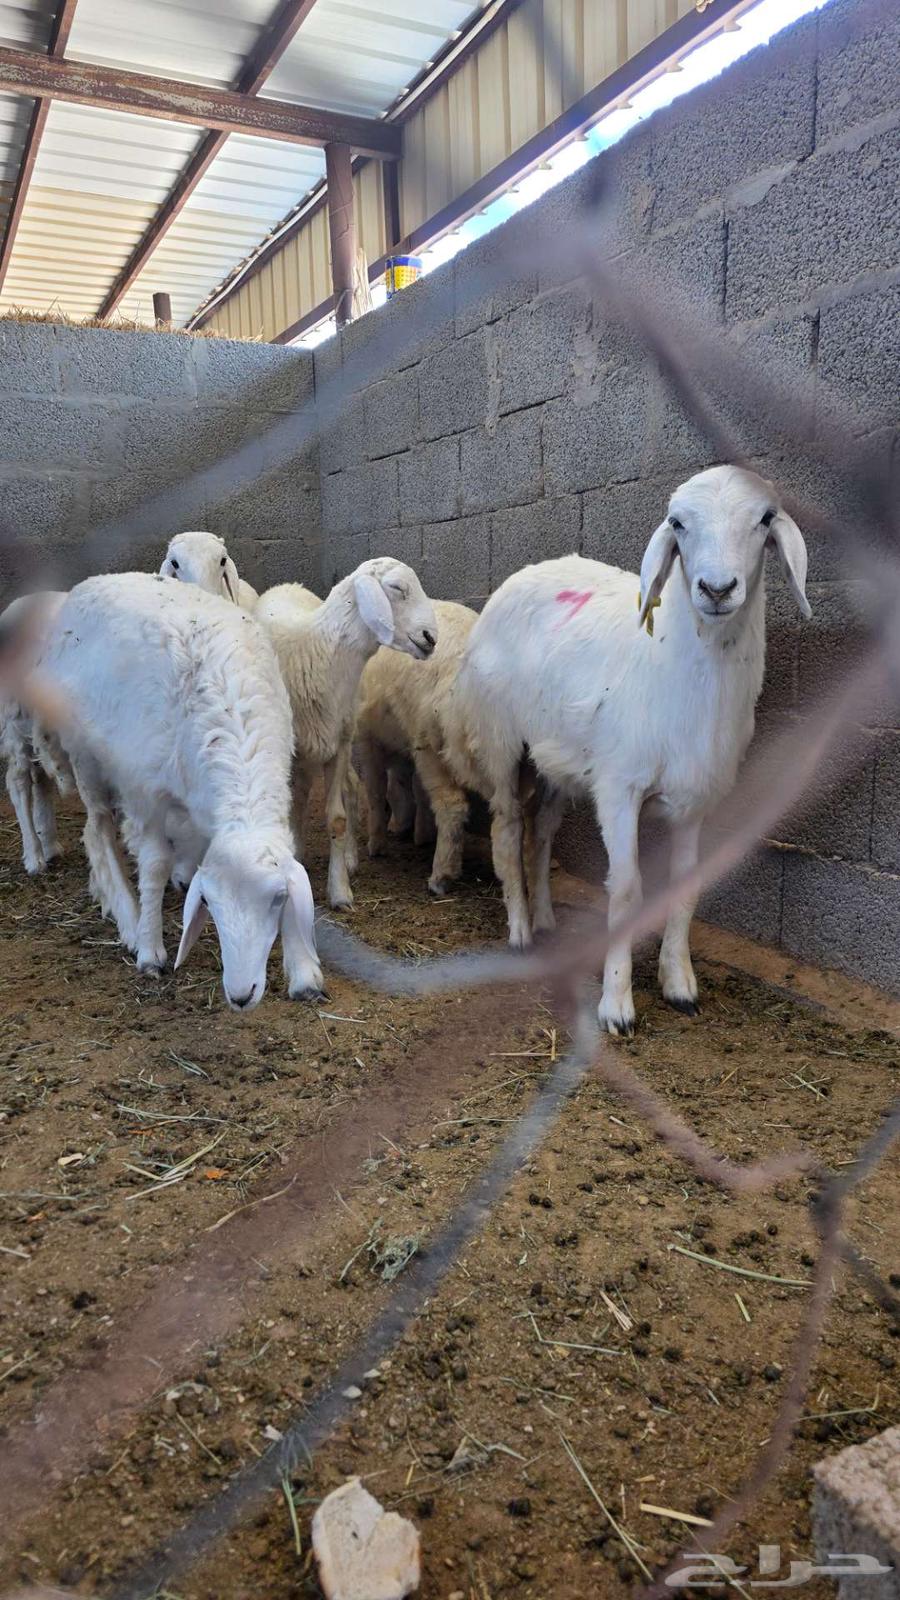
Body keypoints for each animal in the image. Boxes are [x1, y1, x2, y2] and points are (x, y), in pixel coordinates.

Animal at [34, 572, 323, 1008]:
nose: (241, 996)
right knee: (97, 830)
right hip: (84, 753)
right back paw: (127, 914)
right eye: (210, 905)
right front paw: (150, 949)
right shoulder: (146, 794)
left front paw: (303, 972)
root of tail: (91, 582)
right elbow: (154, 865)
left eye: (277, 899)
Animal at [257, 558, 437, 911]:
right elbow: (290, 807)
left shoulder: (339, 743)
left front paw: (339, 889)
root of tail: (288, 584)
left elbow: (337, 818)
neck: (317, 653)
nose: (431, 637)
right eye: (397, 588)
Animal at [355, 600, 478, 895]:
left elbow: (376, 791)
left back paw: (441, 876)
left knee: (452, 805)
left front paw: (377, 843)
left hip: (432, 745)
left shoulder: (368, 739)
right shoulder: (404, 742)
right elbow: (409, 785)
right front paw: (415, 831)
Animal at [454, 465, 811, 1035]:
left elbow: (685, 888)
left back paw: (546, 919)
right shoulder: (620, 787)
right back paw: (520, 930)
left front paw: (679, 983)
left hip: (559, 759)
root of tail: (518, 577)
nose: (716, 588)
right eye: (678, 523)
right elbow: (625, 893)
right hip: (501, 740)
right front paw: (616, 1004)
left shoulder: (696, 798)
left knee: (542, 831)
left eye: (764, 518)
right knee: (507, 830)